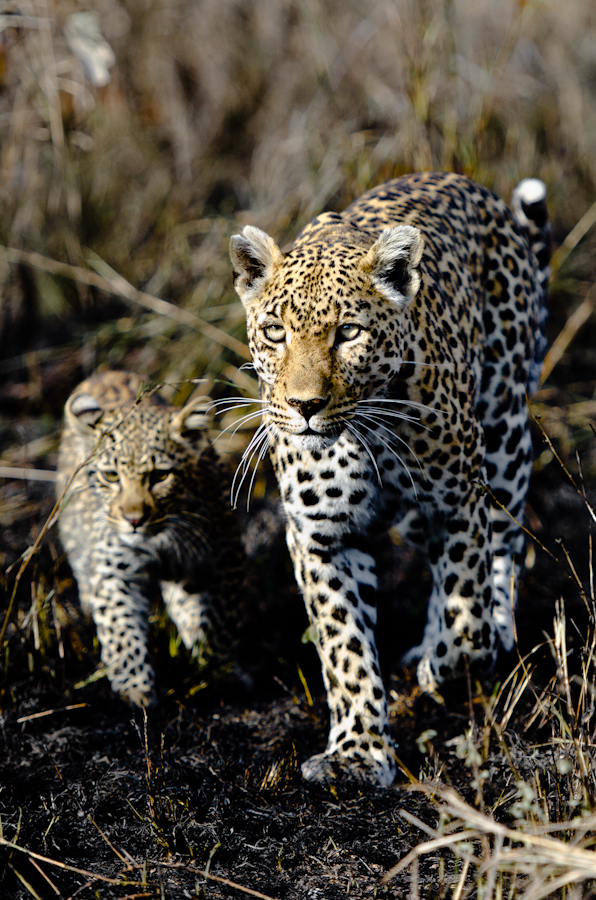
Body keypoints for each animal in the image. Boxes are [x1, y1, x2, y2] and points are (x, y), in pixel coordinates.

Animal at [56, 370, 245, 707]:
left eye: (160, 476)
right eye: (111, 476)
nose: (133, 520)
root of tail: (108, 371)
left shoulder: (224, 554)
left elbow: (222, 620)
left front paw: (219, 671)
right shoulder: (114, 571)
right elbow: (119, 628)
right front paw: (135, 690)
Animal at [229, 172, 550, 786]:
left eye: (349, 332)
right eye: (275, 332)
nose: (304, 406)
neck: (364, 435)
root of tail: (464, 181)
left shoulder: (457, 501)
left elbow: (466, 608)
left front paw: (451, 664)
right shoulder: (322, 536)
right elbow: (344, 646)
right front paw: (357, 753)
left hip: (503, 433)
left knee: (501, 545)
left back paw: (489, 633)